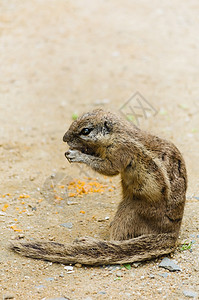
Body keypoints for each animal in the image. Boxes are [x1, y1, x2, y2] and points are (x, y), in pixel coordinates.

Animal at [11, 109, 187, 264]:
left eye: (85, 131)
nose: (64, 138)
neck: (119, 132)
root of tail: (172, 233)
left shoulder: (120, 152)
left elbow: (109, 169)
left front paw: (77, 155)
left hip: (131, 210)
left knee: (117, 238)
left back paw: (86, 240)